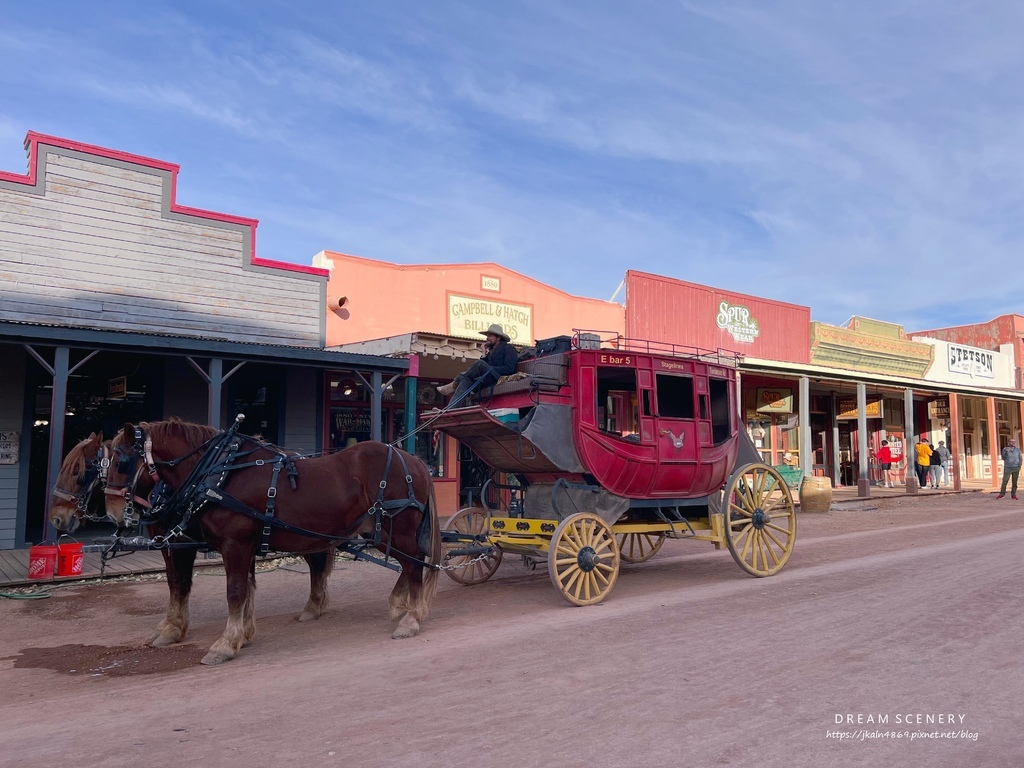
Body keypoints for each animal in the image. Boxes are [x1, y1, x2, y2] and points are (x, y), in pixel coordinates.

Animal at [102, 421, 440, 667]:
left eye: (122, 461)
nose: (112, 512)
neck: (218, 474)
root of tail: (414, 460)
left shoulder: (230, 544)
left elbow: (231, 591)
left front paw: (224, 643)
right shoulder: (241, 545)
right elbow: (243, 588)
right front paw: (242, 633)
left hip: (397, 529)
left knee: (414, 566)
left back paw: (411, 618)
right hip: (379, 533)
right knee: (408, 564)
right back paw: (400, 605)